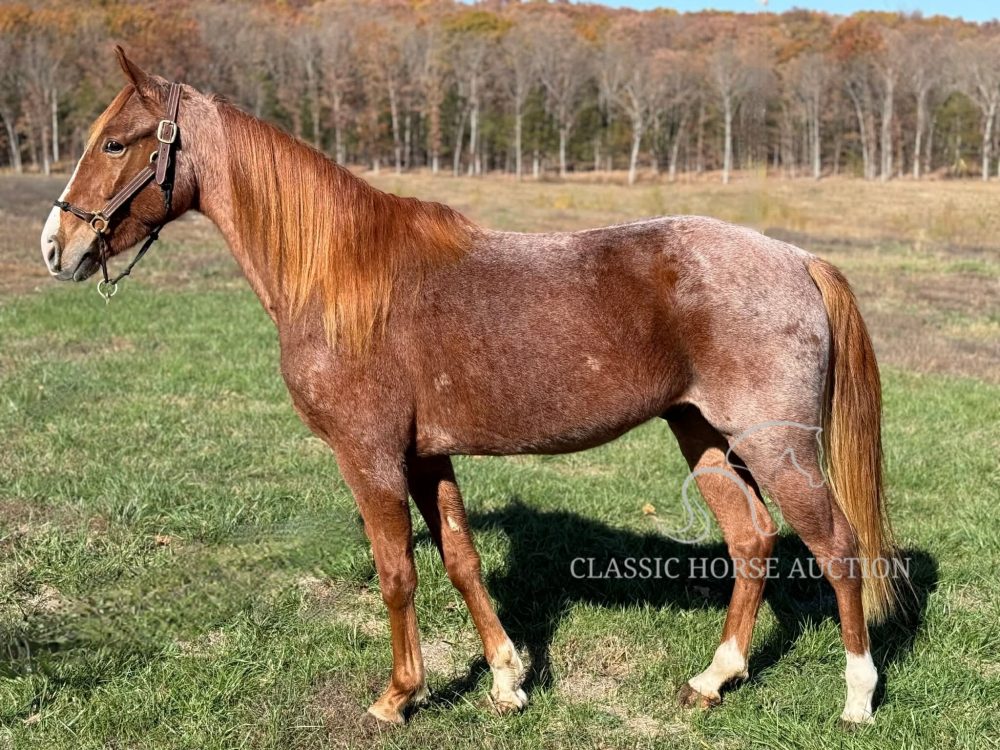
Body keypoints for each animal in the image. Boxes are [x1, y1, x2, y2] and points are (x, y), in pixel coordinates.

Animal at [40, 47, 904, 727]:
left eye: (115, 142)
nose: (57, 245)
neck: (343, 278)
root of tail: (794, 258)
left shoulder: (369, 457)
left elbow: (398, 574)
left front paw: (398, 696)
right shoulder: (428, 456)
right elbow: (460, 560)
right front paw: (507, 680)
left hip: (779, 449)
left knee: (836, 548)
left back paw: (858, 697)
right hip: (703, 434)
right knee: (752, 541)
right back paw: (713, 680)